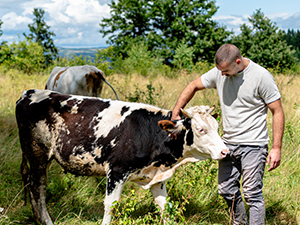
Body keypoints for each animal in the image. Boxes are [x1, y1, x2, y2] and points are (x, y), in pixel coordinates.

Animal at [15, 89, 227, 225]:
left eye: (217, 126)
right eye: (200, 129)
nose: (225, 151)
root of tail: (29, 93)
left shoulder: (157, 177)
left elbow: (164, 207)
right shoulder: (117, 171)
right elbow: (111, 206)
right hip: (37, 153)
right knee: (37, 187)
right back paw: (46, 220)